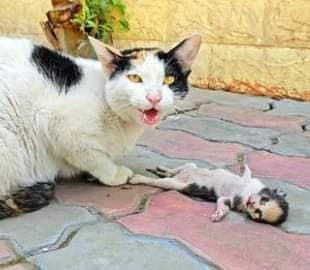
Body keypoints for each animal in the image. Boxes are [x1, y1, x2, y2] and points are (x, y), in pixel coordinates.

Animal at [0, 34, 202, 218]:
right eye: (135, 78)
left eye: (169, 79)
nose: (154, 98)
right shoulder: (55, 121)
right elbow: (92, 156)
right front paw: (113, 173)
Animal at [130, 163, 290, 225]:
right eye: (264, 200)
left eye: (257, 213)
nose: (251, 203)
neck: (247, 193)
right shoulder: (251, 181)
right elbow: (247, 173)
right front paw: (242, 163)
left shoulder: (233, 201)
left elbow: (222, 202)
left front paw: (219, 213)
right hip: (190, 167)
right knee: (182, 167)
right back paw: (162, 169)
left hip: (180, 184)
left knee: (166, 181)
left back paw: (139, 178)